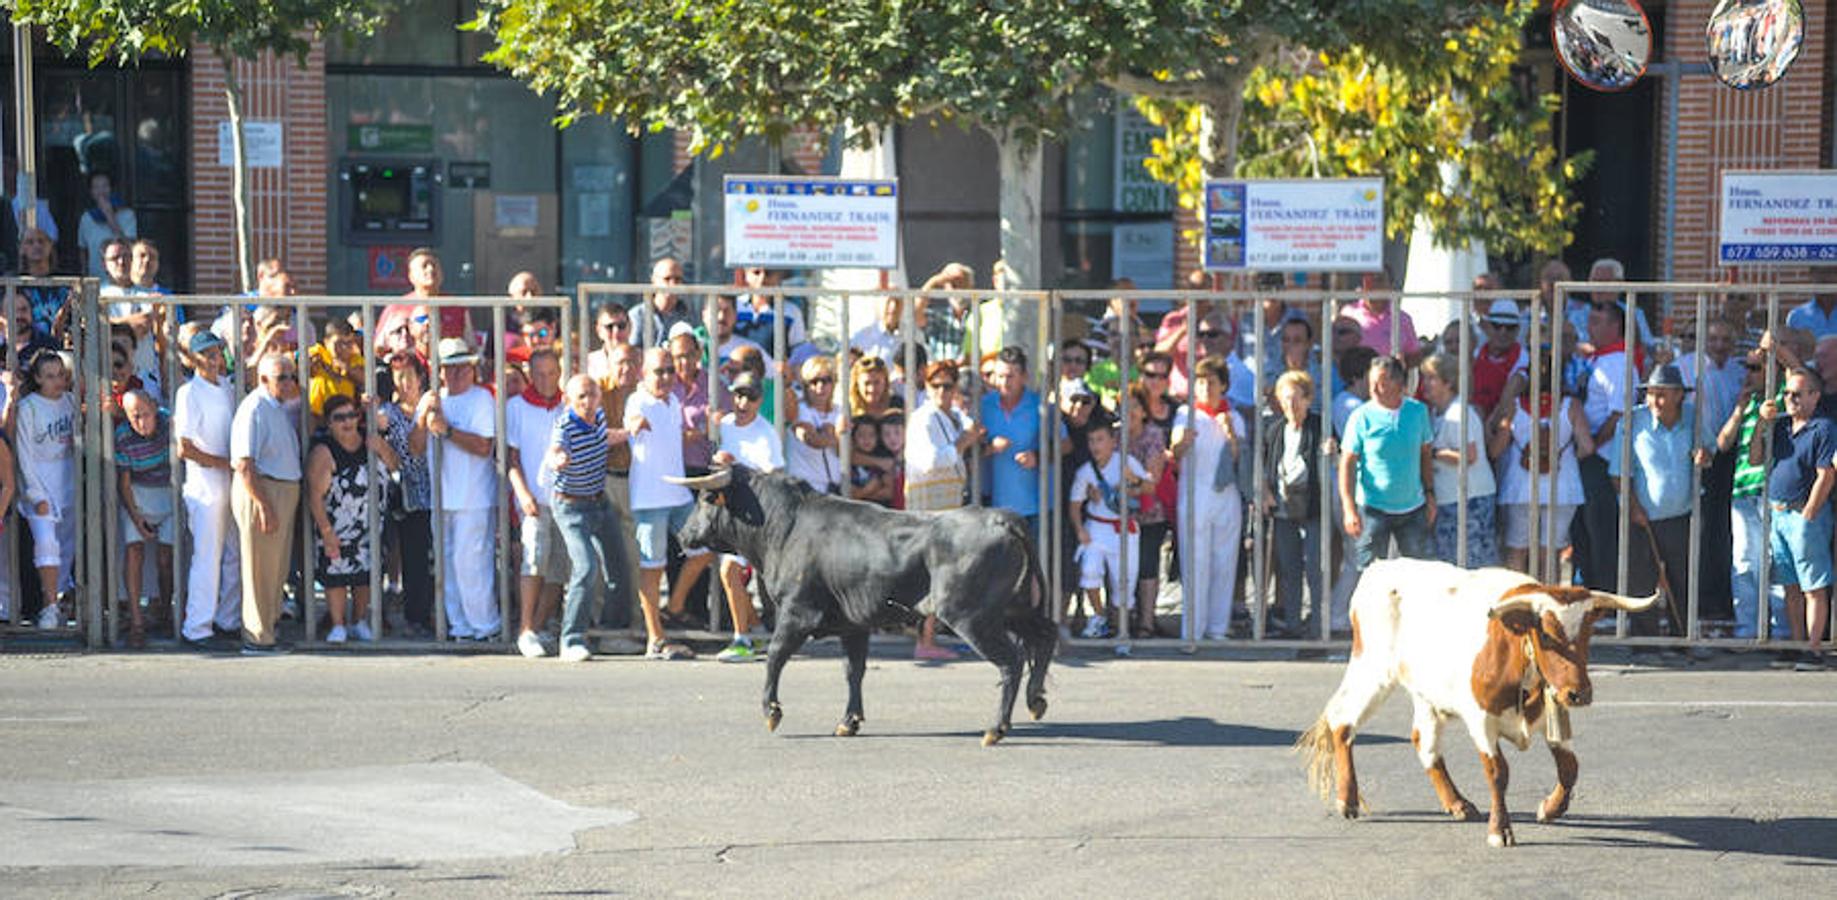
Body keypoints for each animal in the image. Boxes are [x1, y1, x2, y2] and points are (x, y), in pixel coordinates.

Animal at [668, 464, 1058, 745]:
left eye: (705, 498)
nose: (683, 535)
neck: (786, 526)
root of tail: (1002, 518)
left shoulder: (797, 612)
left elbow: (776, 656)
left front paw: (771, 711)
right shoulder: (852, 624)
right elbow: (853, 670)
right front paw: (848, 721)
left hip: (971, 617)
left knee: (1011, 661)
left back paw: (996, 728)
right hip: (1014, 609)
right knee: (1046, 635)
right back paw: (1036, 700)